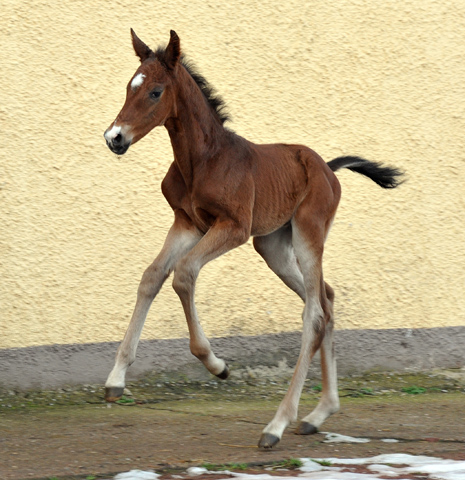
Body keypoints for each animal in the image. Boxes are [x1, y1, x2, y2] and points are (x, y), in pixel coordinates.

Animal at [102, 31, 402, 450]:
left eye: (156, 92)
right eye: (130, 86)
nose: (114, 137)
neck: (202, 159)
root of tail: (328, 169)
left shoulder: (234, 227)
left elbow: (184, 274)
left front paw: (217, 365)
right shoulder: (187, 224)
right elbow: (152, 276)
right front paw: (115, 379)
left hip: (307, 233)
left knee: (314, 314)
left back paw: (277, 425)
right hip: (273, 246)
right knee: (326, 299)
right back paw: (318, 415)